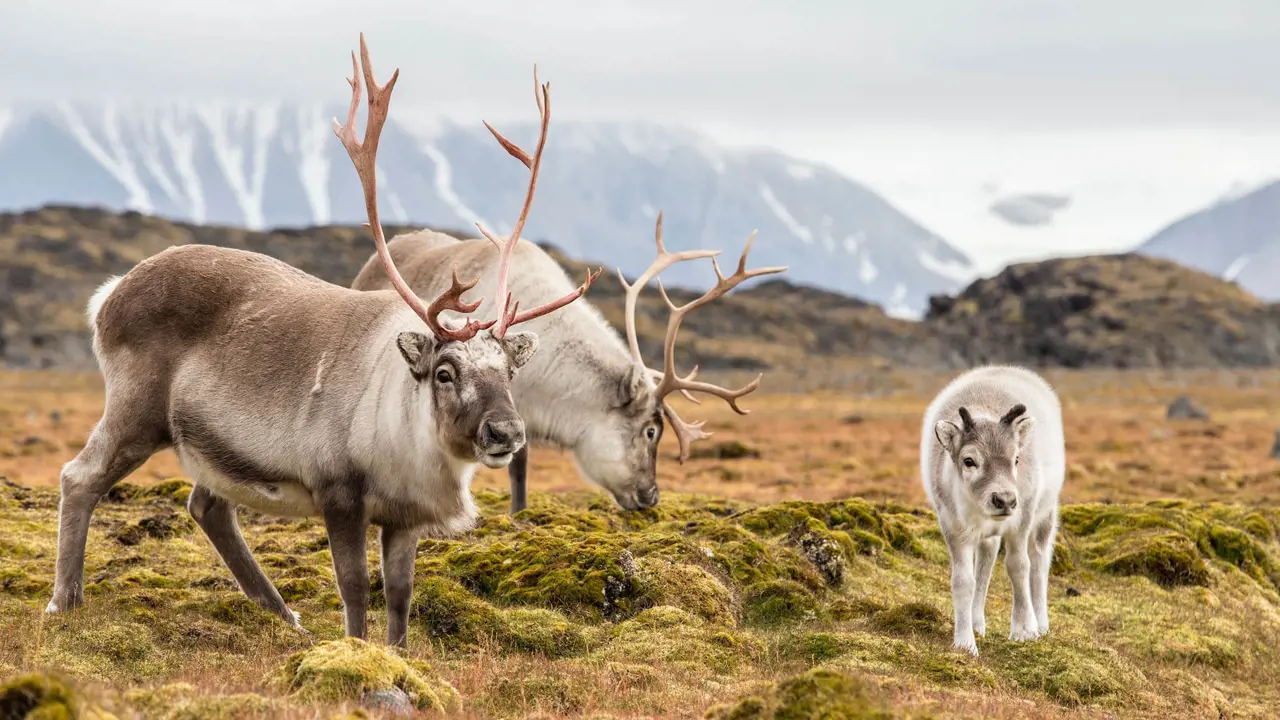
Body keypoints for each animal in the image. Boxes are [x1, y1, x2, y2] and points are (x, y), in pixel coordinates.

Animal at [926, 366, 1064, 653]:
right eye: (969, 460)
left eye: (1016, 459)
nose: (1005, 500)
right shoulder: (953, 528)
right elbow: (963, 581)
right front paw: (965, 642)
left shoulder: (1021, 522)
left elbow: (1018, 567)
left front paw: (1023, 631)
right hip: (987, 536)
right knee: (986, 561)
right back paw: (977, 622)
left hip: (1046, 515)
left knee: (1038, 564)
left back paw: (1040, 623)